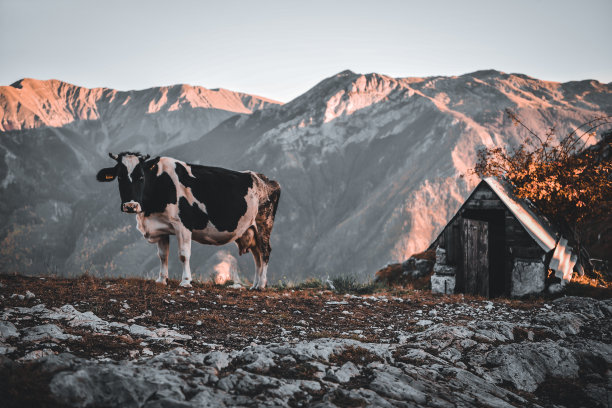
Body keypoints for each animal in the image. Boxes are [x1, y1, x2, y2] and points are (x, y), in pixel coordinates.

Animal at [96, 151, 282, 288]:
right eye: (120, 177)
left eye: (141, 176)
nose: (131, 205)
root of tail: (265, 179)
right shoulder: (161, 228)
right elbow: (162, 255)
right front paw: (161, 280)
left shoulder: (183, 225)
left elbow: (183, 255)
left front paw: (185, 281)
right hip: (251, 229)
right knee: (257, 255)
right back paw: (255, 285)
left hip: (264, 224)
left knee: (265, 252)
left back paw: (261, 285)